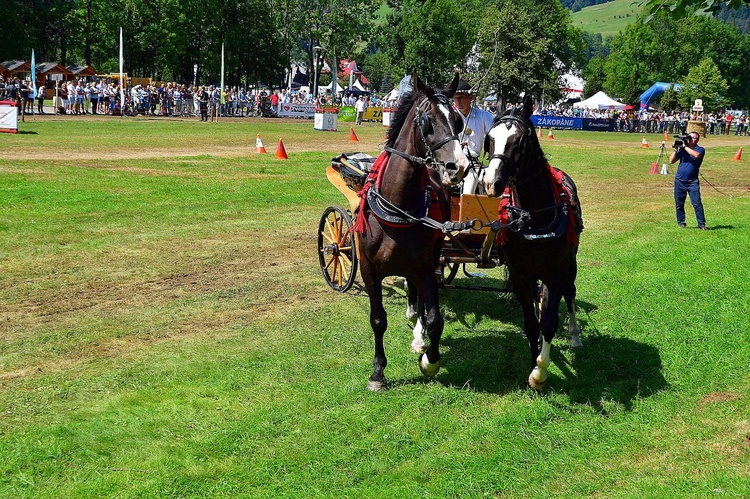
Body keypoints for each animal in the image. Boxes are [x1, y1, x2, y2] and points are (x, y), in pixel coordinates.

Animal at [354, 72, 470, 392]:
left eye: (457, 121)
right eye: (427, 121)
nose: (458, 166)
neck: (397, 208)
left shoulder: (427, 268)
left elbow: (435, 319)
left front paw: (431, 359)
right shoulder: (369, 270)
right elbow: (378, 319)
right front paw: (378, 373)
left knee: (420, 301)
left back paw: (419, 338)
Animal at [484, 94, 584, 390]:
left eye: (519, 141)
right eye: (490, 138)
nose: (491, 183)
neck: (535, 215)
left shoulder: (556, 272)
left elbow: (550, 321)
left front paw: (540, 372)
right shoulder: (521, 275)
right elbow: (531, 323)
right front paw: (533, 360)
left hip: (571, 265)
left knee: (570, 294)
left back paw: (575, 336)